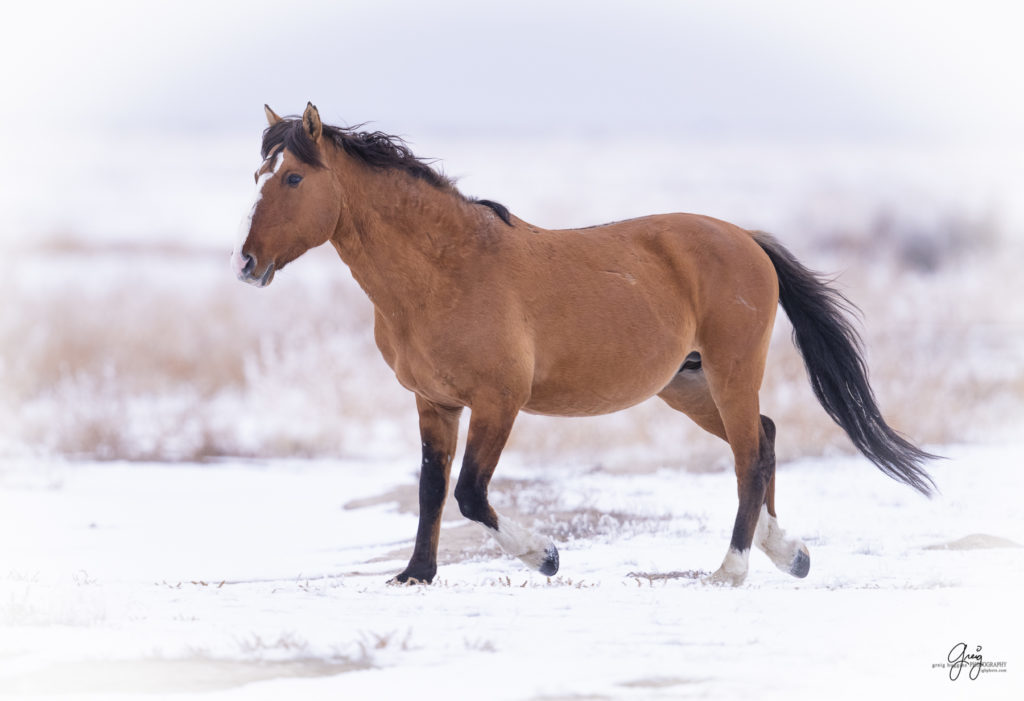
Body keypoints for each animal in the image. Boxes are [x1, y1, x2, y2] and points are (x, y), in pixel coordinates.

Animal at [232, 102, 937, 585]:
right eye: (258, 175)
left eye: (292, 179)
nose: (246, 264)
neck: (446, 271)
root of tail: (745, 239)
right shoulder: (434, 403)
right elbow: (432, 489)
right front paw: (415, 575)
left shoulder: (500, 402)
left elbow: (469, 493)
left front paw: (544, 555)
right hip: (686, 384)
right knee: (762, 438)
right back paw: (788, 553)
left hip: (731, 371)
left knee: (748, 457)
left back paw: (731, 569)